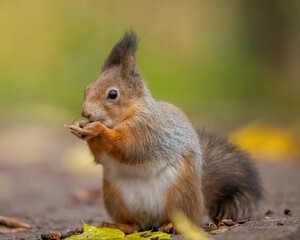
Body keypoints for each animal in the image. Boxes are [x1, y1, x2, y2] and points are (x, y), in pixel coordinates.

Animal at [66, 31, 262, 233]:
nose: (86, 113)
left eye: (113, 94)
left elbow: (130, 147)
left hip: (179, 195)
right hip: (116, 198)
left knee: (181, 218)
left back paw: (171, 225)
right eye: (87, 89)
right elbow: (102, 157)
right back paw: (119, 225)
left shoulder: (147, 130)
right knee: (135, 224)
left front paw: (96, 129)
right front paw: (80, 129)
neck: (124, 117)